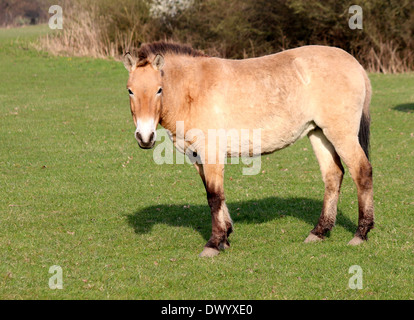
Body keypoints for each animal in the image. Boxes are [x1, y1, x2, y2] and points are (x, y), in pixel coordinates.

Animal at [122, 42, 372, 258]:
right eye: (130, 91)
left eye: (159, 90)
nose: (145, 137)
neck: (193, 90)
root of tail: (355, 65)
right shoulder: (197, 157)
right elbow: (215, 195)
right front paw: (225, 237)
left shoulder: (211, 154)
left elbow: (214, 196)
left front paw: (213, 243)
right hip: (318, 133)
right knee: (333, 175)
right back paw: (319, 232)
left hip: (341, 134)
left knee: (362, 172)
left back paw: (361, 233)